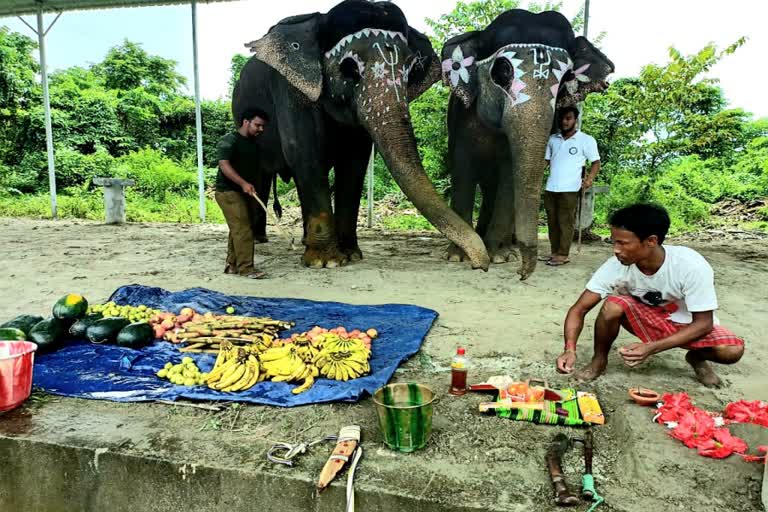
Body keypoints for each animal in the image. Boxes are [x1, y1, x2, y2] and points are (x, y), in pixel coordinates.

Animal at [231, 0, 488, 270]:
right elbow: (304, 151)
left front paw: (350, 255)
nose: (480, 265)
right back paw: (260, 240)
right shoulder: (290, 89)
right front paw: (327, 262)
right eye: (349, 68)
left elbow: (355, 161)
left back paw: (300, 242)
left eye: (412, 67)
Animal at [440, 8, 616, 278]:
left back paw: (505, 245)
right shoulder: (460, 117)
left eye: (567, 77)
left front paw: (499, 257)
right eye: (502, 72)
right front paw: (456, 256)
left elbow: (510, 174)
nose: (522, 273)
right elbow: (462, 169)